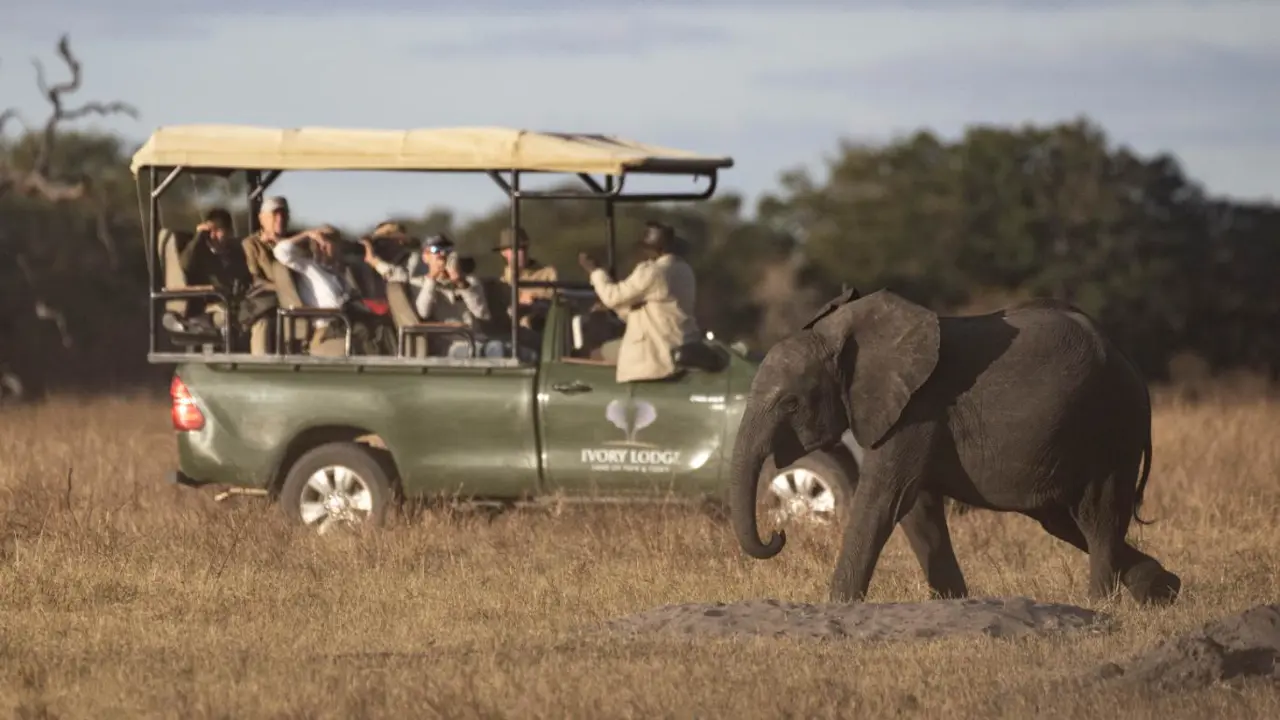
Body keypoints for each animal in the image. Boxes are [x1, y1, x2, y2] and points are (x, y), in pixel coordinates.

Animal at [732, 283, 1177, 602]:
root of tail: (1129, 362)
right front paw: (954, 604)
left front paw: (836, 607)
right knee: (1064, 520)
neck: (844, 337)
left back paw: (1102, 603)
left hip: (1111, 426)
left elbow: (883, 500)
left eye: (790, 403)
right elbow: (917, 511)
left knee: (1097, 515)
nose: (779, 533)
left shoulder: (918, 408)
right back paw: (1164, 590)